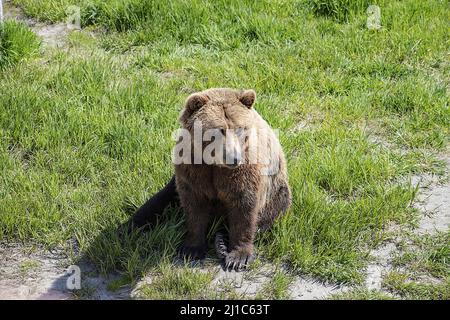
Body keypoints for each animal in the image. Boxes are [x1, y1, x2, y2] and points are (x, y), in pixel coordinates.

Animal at [130, 87, 292, 270]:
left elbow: (244, 207)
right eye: (219, 130)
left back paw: (221, 241)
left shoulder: (245, 171)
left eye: (239, 128)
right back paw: (131, 226)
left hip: (277, 189)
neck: (215, 164)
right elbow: (194, 206)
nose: (233, 158)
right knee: (158, 201)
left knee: (274, 210)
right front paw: (192, 248)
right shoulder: (193, 170)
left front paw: (238, 256)